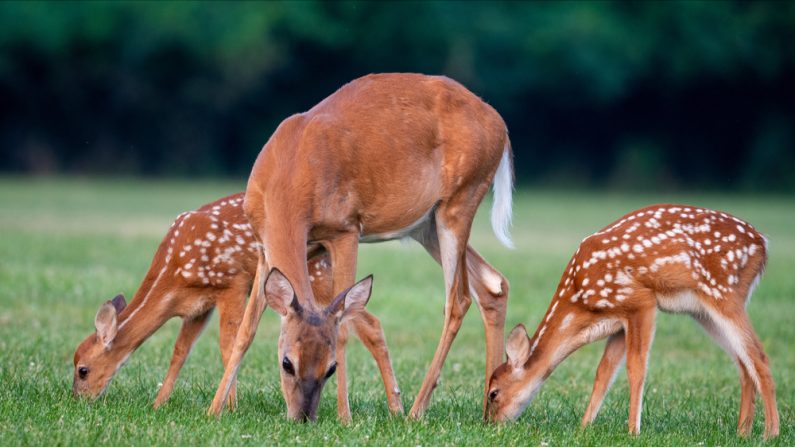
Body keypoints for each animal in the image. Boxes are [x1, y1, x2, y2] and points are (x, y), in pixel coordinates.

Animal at [73, 194, 404, 418]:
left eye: (83, 370)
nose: (78, 400)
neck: (174, 271)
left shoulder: (230, 283)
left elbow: (228, 344)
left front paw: (229, 407)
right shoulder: (197, 306)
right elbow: (180, 352)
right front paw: (158, 404)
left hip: (319, 279)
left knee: (370, 323)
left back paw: (397, 409)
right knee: (370, 321)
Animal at [208, 73, 512, 424]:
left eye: (330, 368)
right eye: (286, 362)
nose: (303, 417)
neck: (290, 176)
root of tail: (500, 125)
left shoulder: (345, 229)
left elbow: (342, 328)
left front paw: (345, 418)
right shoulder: (264, 248)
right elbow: (247, 330)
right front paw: (213, 409)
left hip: (459, 202)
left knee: (458, 299)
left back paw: (416, 410)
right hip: (426, 225)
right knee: (492, 284)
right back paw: (489, 411)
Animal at [486, 205, 776, 440]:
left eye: (493, 393)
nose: (490, 424)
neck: (581, 304)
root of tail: (762, 244)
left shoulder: (639, 301)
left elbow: (636, 368)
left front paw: (632, 431)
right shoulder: (618, 322)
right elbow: (603, 373)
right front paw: (584, 427)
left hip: (724, 292)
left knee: (759, 355)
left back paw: (770, 433)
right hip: (704, 311)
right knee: (743, 362)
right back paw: (742, 432)